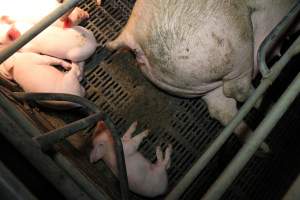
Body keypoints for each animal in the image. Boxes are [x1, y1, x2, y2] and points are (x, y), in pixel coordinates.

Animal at [106, 0, 296, 147]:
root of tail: (132, 36)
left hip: (195, 83)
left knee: (222, 112)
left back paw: (264, 148)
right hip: (233, 47)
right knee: (237, 90)